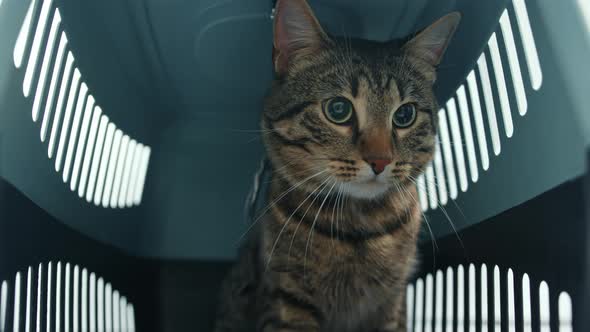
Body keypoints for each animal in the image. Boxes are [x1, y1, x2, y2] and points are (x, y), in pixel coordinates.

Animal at [216, 1, 462, 330]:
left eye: (404, 115)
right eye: (338, 109)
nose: (380, 160)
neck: (358, 227)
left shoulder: (391, 301)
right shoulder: (287, 297)